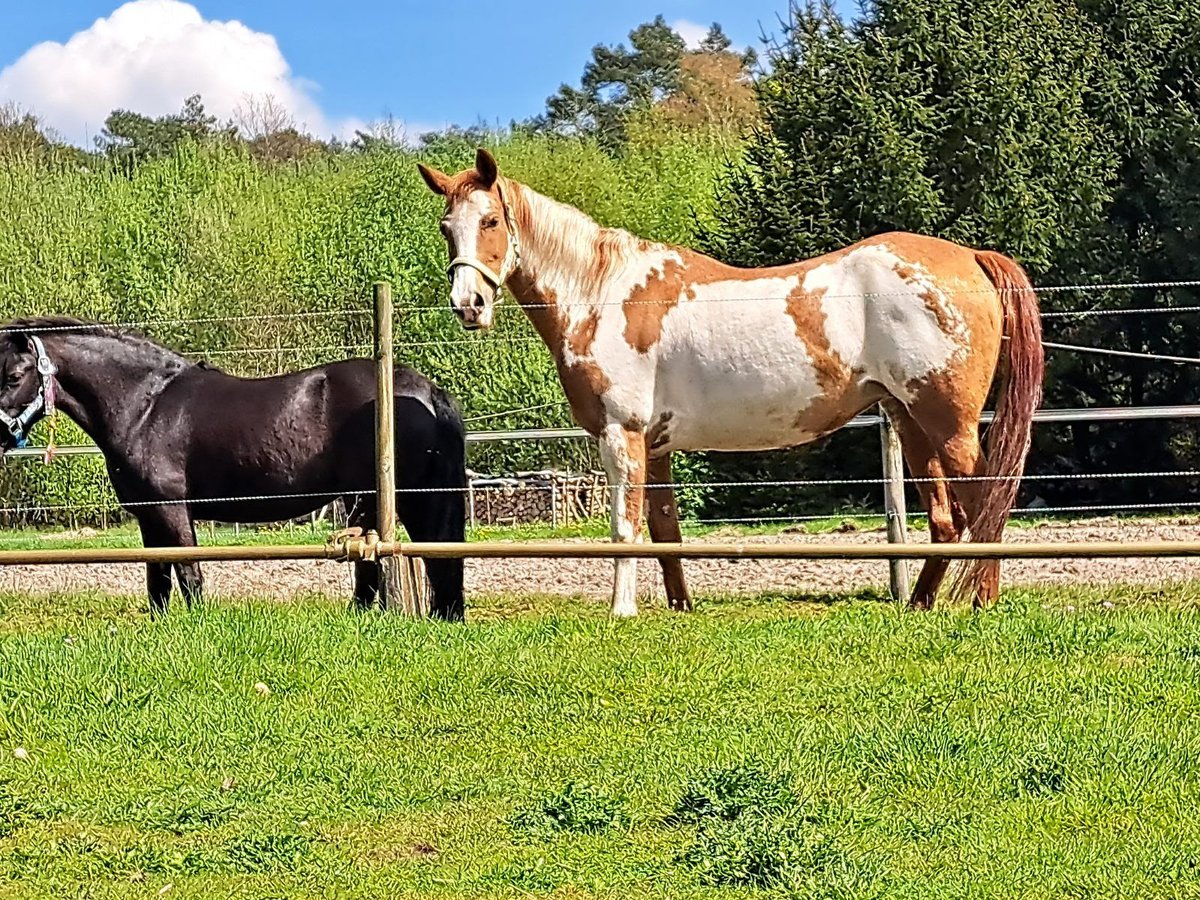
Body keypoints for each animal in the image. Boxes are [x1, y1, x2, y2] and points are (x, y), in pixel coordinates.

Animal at [0, 321, 465, 624]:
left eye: (14, 375)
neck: (146, 405)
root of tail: (425, 389)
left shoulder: (172, 509)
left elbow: (188, 573)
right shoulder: (149, 514)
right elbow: (157, 578)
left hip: (380, 498)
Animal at [420, 150, 1041, 619]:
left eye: (491, 222)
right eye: (448, 228)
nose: (468, 305)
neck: (603, 295)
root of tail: (970, 259)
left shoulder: (622, 436)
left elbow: (624, 527)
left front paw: (622, 611)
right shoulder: (657, 445)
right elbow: (665, 530)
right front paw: (679, 610)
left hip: (948, 423)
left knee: (984, 503)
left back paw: (982, 601)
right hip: (909, 422)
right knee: (947, 520)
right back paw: (919, 604)